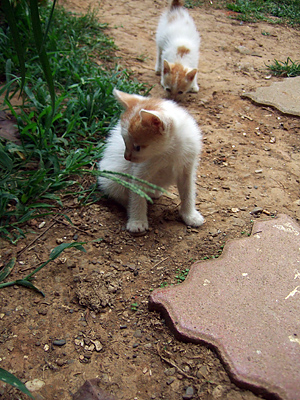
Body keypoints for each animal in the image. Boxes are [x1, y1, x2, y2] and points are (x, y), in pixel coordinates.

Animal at [98, 89, 204, 233]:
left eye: (137, 147)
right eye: (125, 142)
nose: (127, 157)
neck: (170, 151)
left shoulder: (187, 167)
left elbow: (188, 192)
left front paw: (190, 215)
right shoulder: (139, 171)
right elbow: (136, 196)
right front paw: (137, 221)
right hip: (112, 177)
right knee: (119, 193)